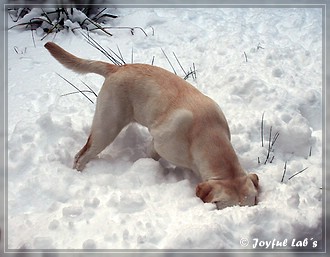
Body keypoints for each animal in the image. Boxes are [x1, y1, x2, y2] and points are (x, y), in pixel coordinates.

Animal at [45, 42, 260, 209]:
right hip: (106, 128)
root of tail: (117, 68)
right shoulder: (158, 143)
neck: (208, 133)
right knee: (81, 155)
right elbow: (151, 156)